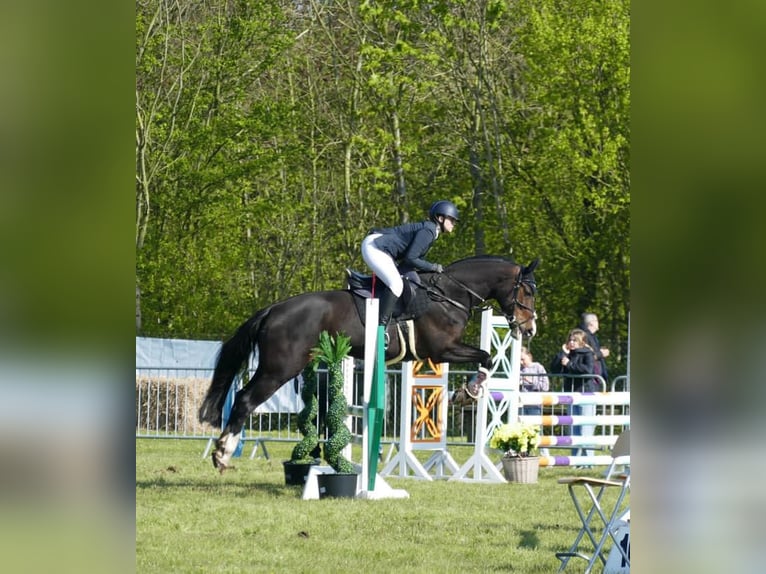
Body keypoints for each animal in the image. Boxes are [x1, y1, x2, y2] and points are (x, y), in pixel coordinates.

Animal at [201, 256, 544, 472]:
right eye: (527, 291)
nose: (529, 330)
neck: (449, 294)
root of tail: (273, 309)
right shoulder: (442, 350)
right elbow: (486, 357)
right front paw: (468, 392)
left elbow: (485, 357)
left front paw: (465, 393)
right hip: (279, 369)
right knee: (245, 400)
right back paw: (223, 454)